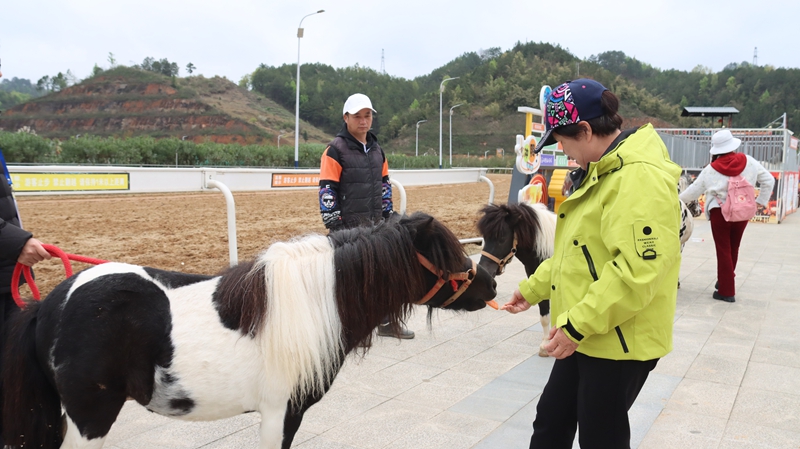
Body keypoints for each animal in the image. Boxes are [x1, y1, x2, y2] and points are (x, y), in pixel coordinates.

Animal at [2, 212, 497, 449]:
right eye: (449, 254)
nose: (491, 283)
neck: (315, 300)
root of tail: (48, 304)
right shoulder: (281, 412)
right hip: (90, 420)